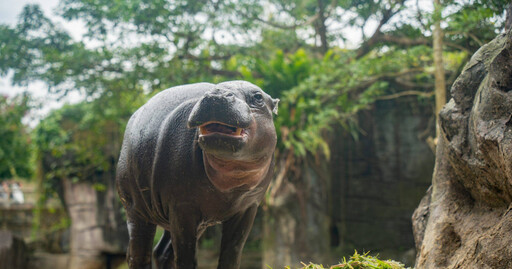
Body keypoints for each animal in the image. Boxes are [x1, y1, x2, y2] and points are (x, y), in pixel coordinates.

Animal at [115, 80, 278, 266]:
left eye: (258, 97)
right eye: (212, 89)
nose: (217, 95)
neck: (232, 181)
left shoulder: (248, 207)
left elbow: (232, 254)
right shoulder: (182, 207)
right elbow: (186, 257)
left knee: (162, 252)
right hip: (136, 209)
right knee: (139, 253)